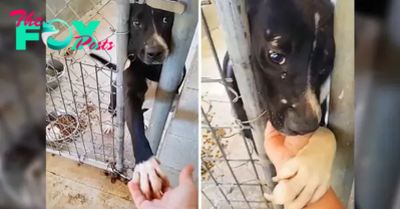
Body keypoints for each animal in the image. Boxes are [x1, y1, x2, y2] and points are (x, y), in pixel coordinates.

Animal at [90, 3, 185, 199]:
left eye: (166, 19)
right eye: (136, 23)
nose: (155, 52)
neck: (152, 69)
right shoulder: (130, 97)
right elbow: (135, 127)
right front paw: (146, 165)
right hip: (114, 101)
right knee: (113, 112)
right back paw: (110, 125)